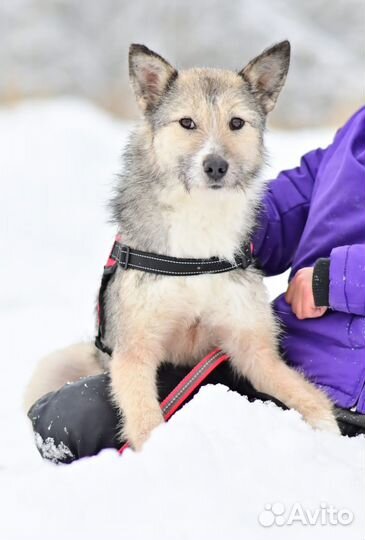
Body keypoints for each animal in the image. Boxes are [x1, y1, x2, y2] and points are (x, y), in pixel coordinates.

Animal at [24, 41, 338, 448]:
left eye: (236, 123)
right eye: (187, 123)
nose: (216, 166)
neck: (197, 255)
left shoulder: (254, 350)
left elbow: (308, 396)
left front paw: (331, 436)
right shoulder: (135, 353)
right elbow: (145, 421)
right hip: (58, 363)